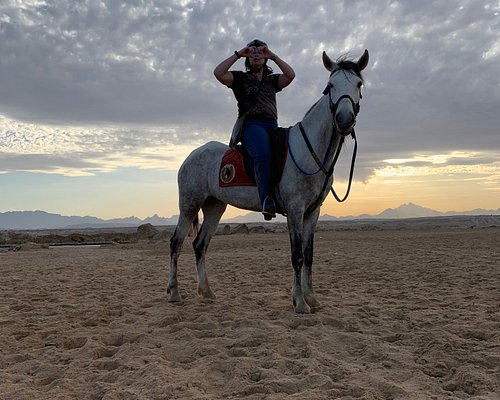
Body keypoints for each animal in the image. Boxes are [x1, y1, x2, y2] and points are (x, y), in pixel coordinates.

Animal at [168, 49, 368, 312]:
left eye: (358, 84)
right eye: (331, 85)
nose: (344, 119)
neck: (310, 150)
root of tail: (191, 156)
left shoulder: (312, 212)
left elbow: (309, 255)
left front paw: (311, 298)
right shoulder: (295, 209)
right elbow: (297, 256)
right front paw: (299, 303)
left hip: (214, 206)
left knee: (200, 245)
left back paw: (207, 292)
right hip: (189, 206)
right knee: (176, 243)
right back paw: (174, 292)